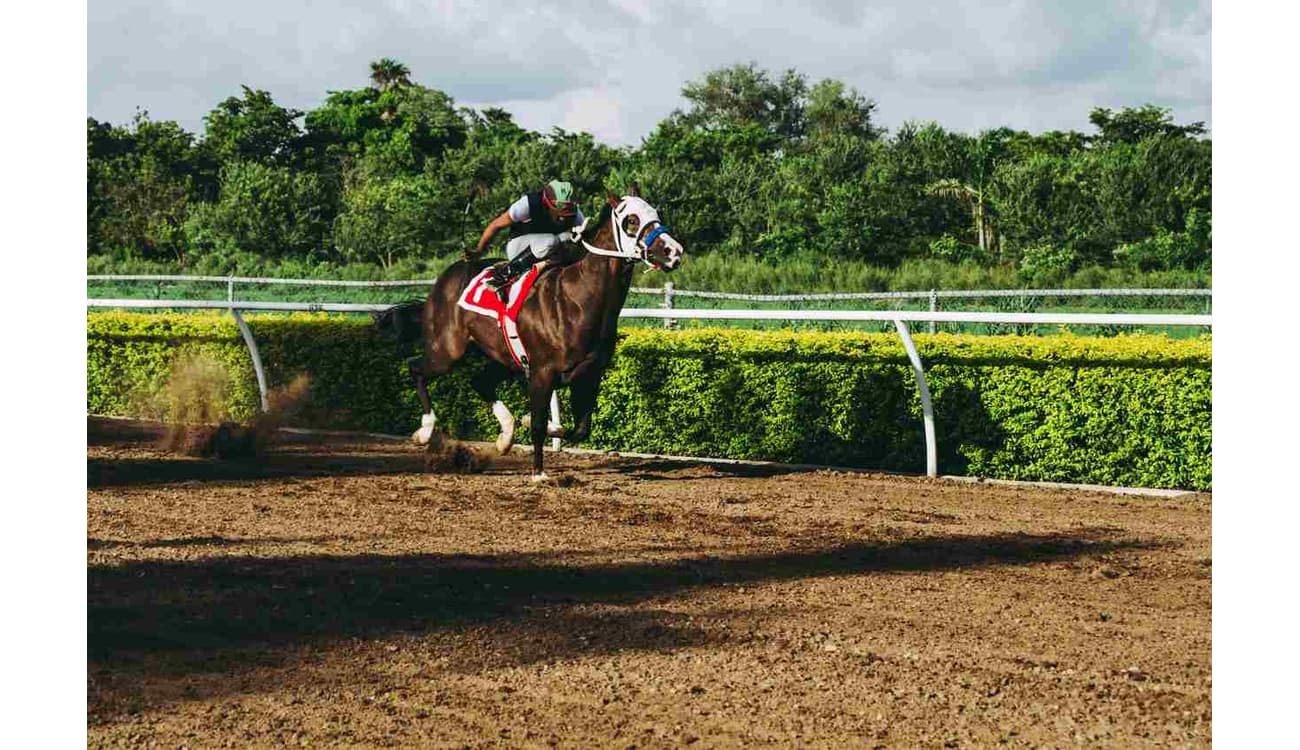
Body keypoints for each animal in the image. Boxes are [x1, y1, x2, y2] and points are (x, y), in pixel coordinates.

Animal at [377, 187, 686, 478]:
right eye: (630, 220)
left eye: (656, 213)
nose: (674, 252)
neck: (579, 298)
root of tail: (446, 276)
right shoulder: (542, 372)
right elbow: (539, 424)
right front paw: (539, 473)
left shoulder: (588, 374)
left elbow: (580, 428)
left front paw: (531, 425)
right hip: (448, 349)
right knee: (416, 368)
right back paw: (426, 431)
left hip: (503, 357)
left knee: (480, 382)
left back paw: (505, 436)